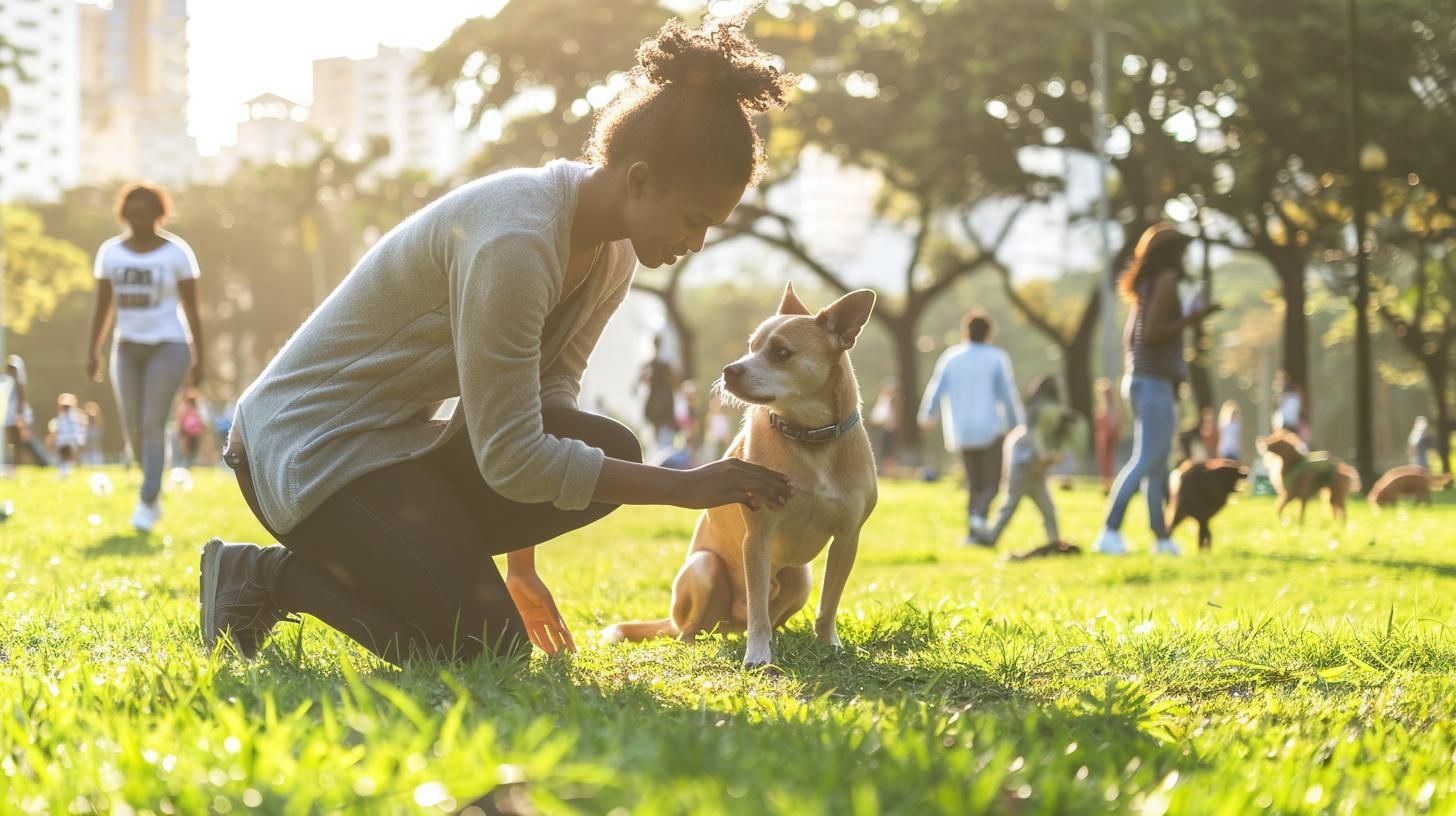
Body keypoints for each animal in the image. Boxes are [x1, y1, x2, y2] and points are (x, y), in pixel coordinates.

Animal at [599, 284, 873, 667]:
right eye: (751, 347)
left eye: (781, 352)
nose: (729, 369)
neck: (809, 438)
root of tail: (728, 627)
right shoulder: (757, 537)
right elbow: (758, 609)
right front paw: (758, 656)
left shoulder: (847, 539)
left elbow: (829, 604)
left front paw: (828, 644)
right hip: (702, 568)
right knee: (696, 627)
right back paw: (698, 640)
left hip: (800, 578)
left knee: (774, 613)